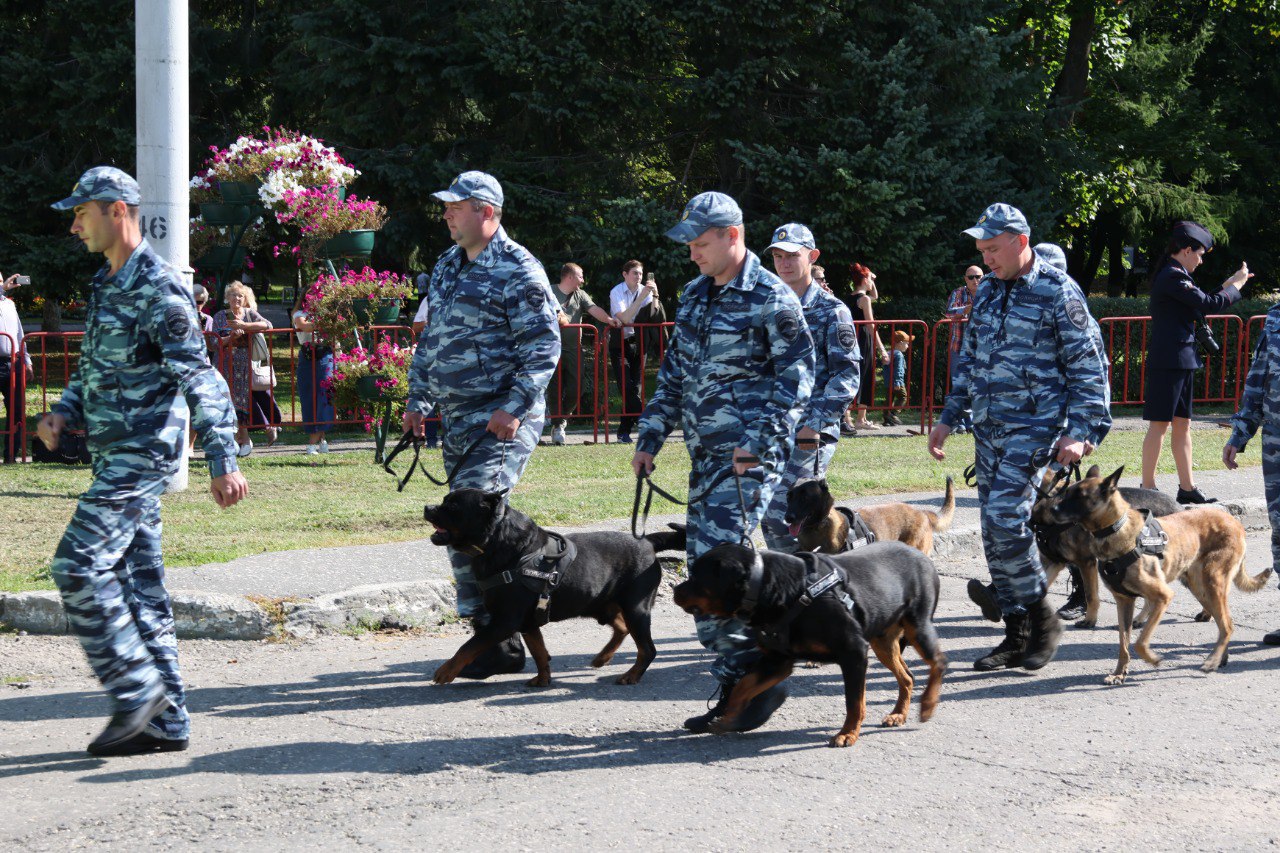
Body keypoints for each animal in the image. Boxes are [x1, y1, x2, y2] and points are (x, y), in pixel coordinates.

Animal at [424, 484, 686, 686]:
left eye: (453, 506)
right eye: (444, 501)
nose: (428, 508)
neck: (496, 542)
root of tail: (647, 542)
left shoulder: (506, 621)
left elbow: (470, 645)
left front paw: (447, 670)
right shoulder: (528, 622)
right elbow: (539, 652)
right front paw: (543, 678)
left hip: (636, 607)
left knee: (647, 648)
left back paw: (631, 675)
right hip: (602, 604)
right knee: (622, 628)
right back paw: (602, 658)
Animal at [675, 540, 947, 747]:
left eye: (697, 577)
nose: (676, 591)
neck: (772, 588)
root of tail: (921, 555)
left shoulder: (854, 652)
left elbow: (854, 701)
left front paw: (847, 733)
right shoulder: (777, 660)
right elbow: (743, 686)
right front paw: (731, 716)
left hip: (917, 626)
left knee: (939, 662)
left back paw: (927, 704)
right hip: (883, 640)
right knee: (908, 676)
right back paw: (898, 714)